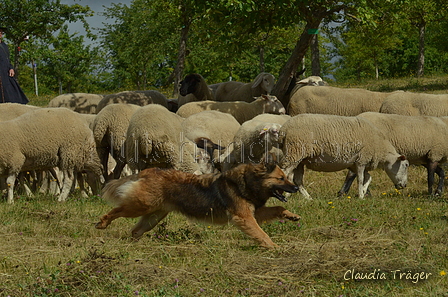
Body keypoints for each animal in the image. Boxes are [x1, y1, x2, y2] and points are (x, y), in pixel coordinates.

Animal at [280, 113, 410, 199]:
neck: (380, 147)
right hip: (295, 152)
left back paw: (308, 198)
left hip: (299, 159)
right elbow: (361, 179)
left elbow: (368, 178)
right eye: (406, 165)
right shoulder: (362, 160)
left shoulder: (355, 163)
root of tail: (284, 129)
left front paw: (363, 192)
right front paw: (361, 195)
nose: (404, 185)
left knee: (297, 180)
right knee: (285, 173)